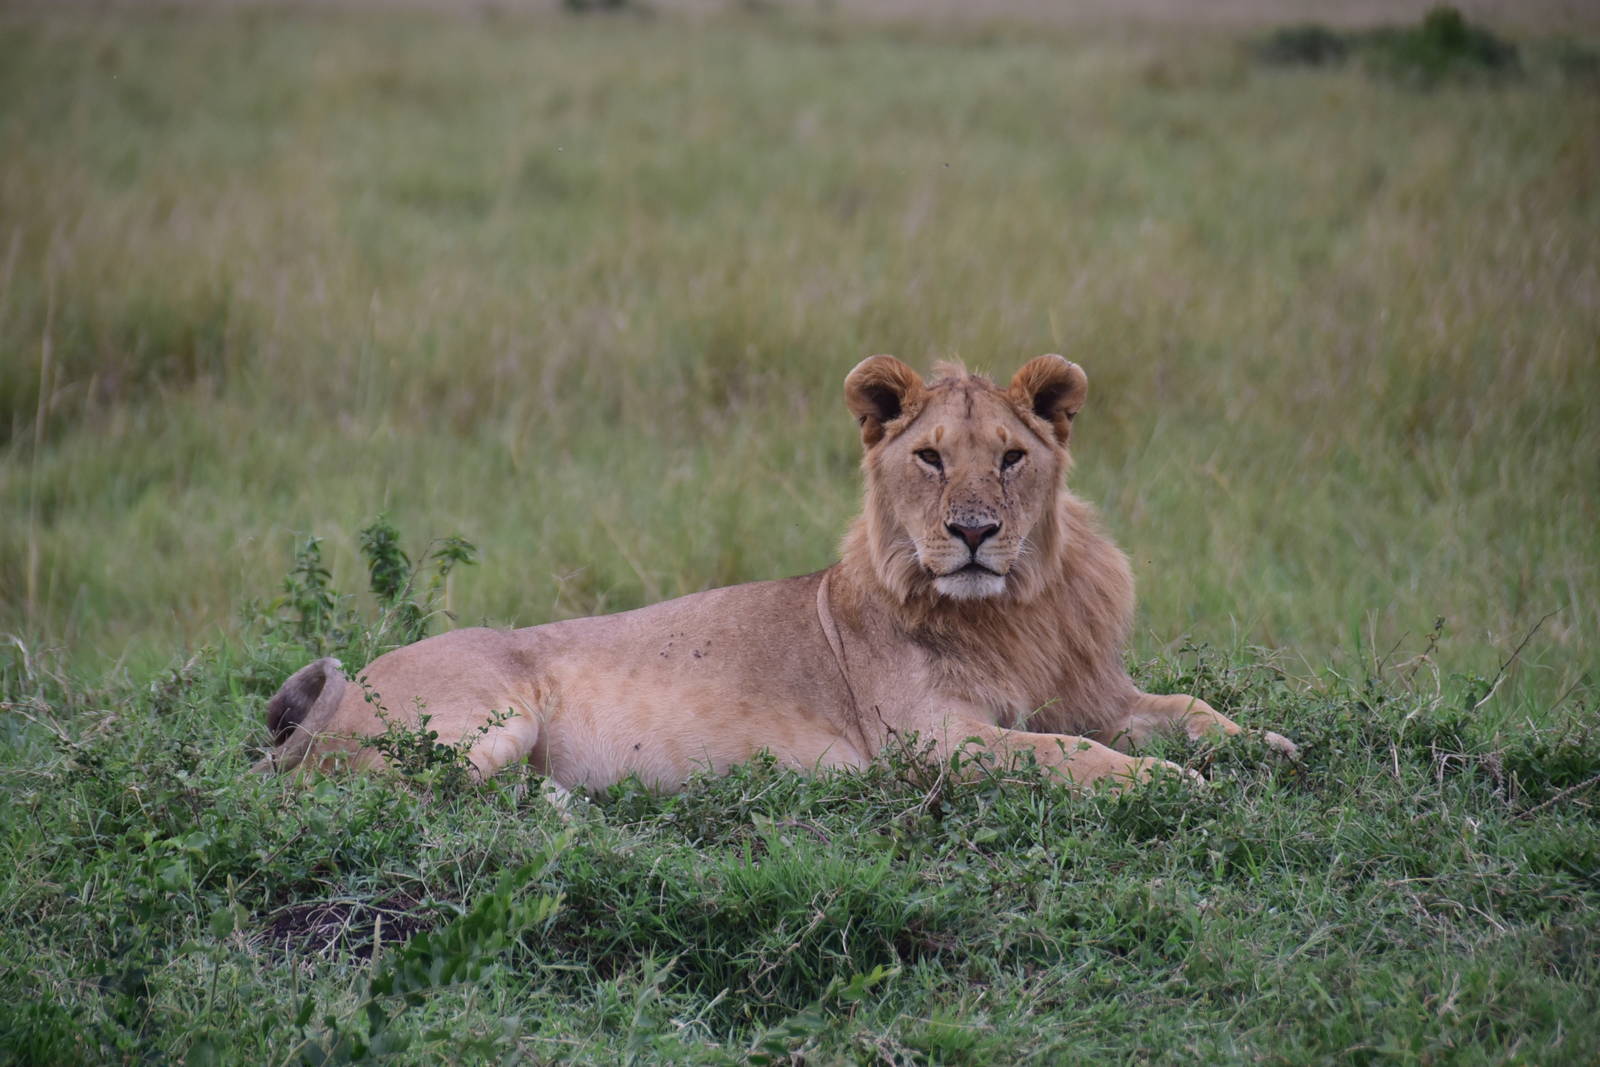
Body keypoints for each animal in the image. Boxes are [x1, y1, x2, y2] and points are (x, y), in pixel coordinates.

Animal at [256, 355, 1296, 792]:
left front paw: (1266, 746)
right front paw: (1172, 784)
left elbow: (1188, 711)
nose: (972, 532)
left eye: (1009, 457)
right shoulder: (935, 739)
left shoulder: (1093, 690)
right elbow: (1071, 755)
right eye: (931, 457)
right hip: (481, 719)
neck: (1013, 609)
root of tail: (344, 689)